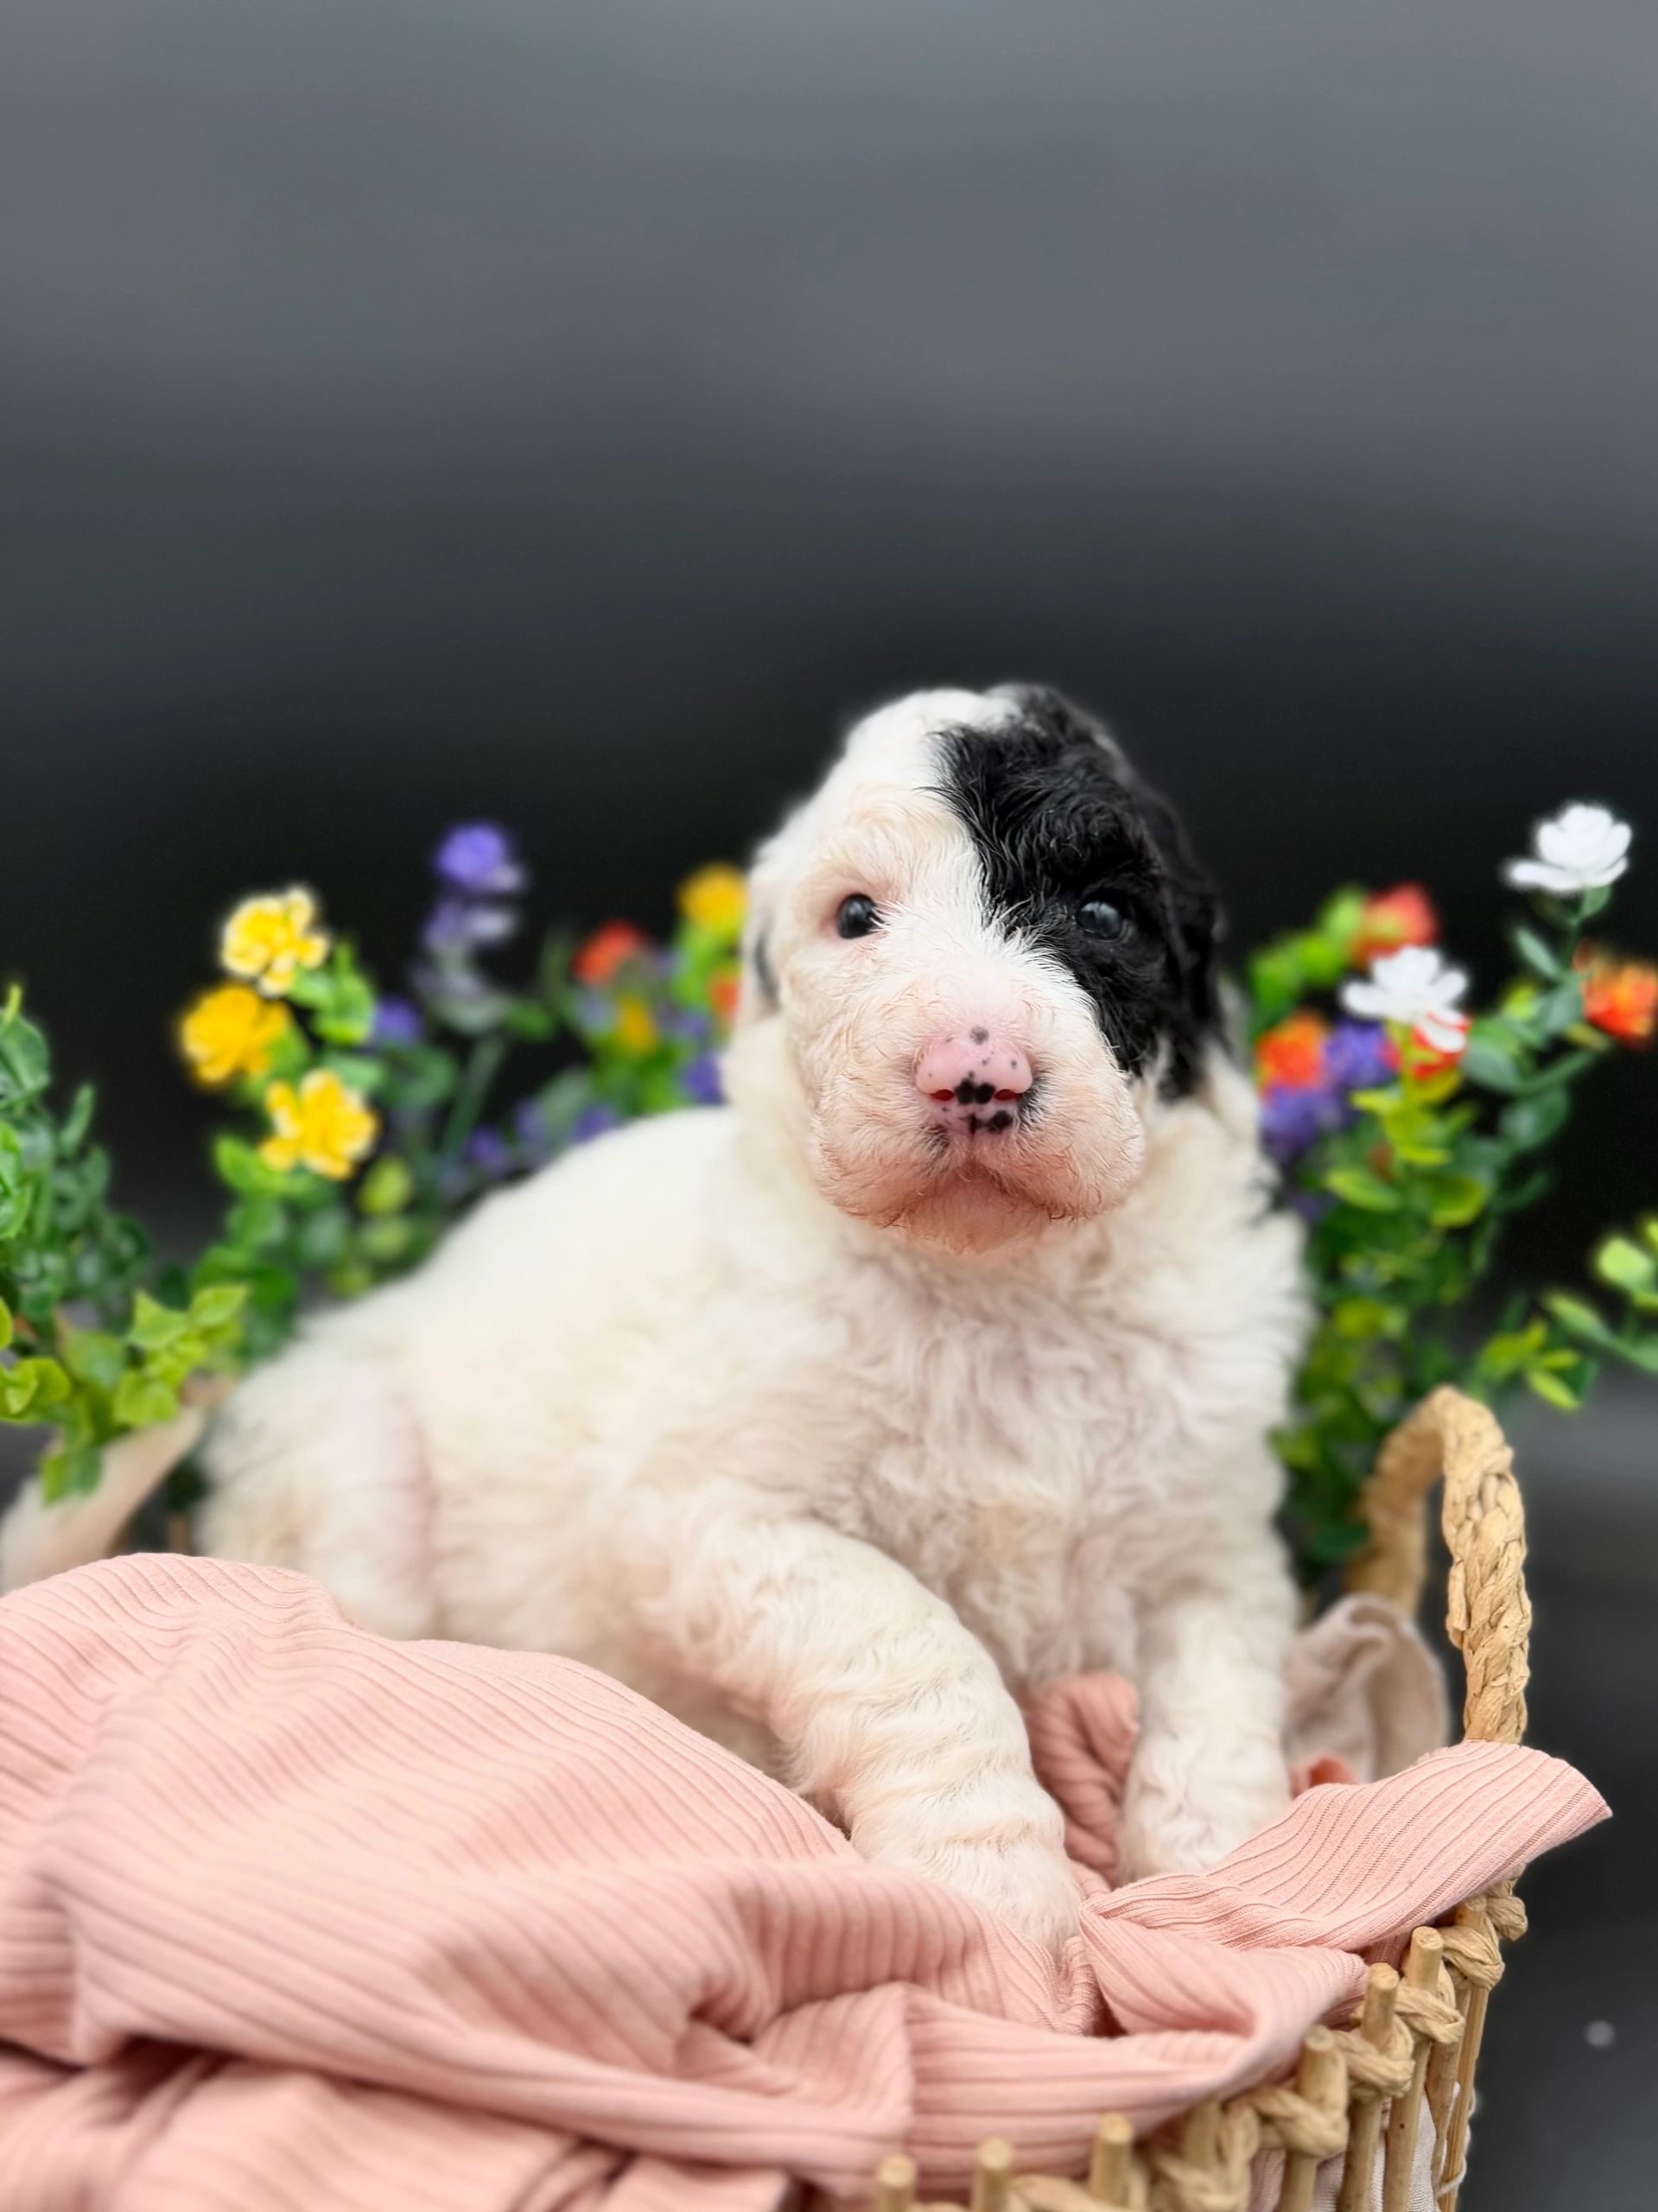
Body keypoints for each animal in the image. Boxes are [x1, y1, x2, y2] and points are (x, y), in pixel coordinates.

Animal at [78, 686, 1313, 1950]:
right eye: (854, 917)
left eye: (1105, 913)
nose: (975, 1071)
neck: (997, 1283)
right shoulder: (703, 1513)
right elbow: (913, 1640)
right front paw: (989, 1884)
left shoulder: (1215, 1540)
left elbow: (1217, 1691)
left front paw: (1219, 1878)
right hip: (349, 1467)